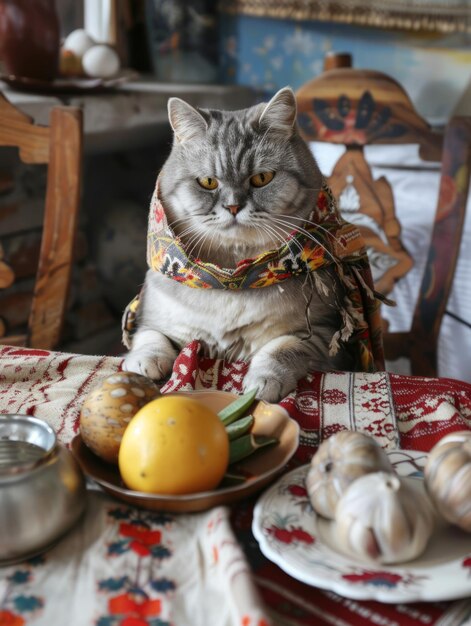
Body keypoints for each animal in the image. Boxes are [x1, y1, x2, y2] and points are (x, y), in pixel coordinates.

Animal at [123, 86, 356, 400]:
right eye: (208, 182)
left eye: (262, 178)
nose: (233, 207)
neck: (232, 280)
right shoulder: (151, 317)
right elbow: (150, 337)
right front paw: (146, 363)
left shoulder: (320, 333)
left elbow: (282, 350)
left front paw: (262, 382)